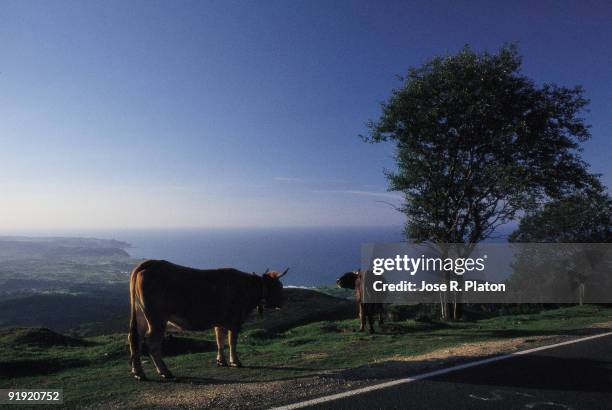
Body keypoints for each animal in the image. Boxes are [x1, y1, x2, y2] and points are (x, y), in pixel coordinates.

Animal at [128, 262, 286, 380]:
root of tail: (150, 263)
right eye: (279, 286)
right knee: (152, 342)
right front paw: (235, 361)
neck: (249, 287)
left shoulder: (220, 322)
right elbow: (232, 342)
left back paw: (138, 372)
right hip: (157, 319)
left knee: (135, 338)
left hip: (141, 316)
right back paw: (164, 371)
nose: (282, 302)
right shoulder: (235, 320)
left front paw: (221, 361)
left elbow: (219, 340)